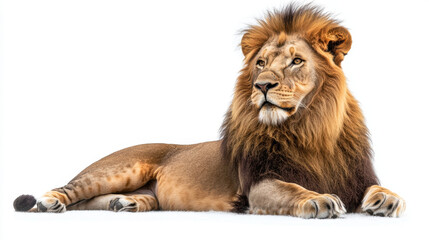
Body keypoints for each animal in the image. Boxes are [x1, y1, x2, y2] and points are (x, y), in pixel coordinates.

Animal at [11, 4, 402, 218]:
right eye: (260, 63)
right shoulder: (258, 185)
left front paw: (387, 200)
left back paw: (125, 205)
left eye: (296, 61)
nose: (262, 85)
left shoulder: (356, 177)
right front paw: (318, 199)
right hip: (120, 168)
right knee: (74, 190)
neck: (309, 129)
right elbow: (292, 190)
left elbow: (382, 188)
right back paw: (50, 202)